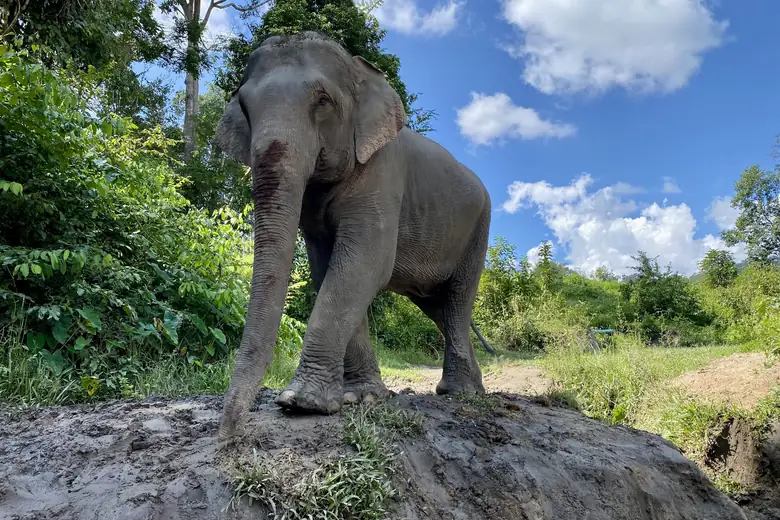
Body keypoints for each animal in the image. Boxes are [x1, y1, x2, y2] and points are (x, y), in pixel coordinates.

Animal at [215, 31, 494, 440]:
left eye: (323, 101)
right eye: (245, 107)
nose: (229, 433)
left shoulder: (383, 173)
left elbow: (364, 264)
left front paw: (301, 403)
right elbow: (327, 268)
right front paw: (361, 398)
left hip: (478, 229)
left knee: (457, 301)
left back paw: (459, 393)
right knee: (439, 308)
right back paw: (470, 388)